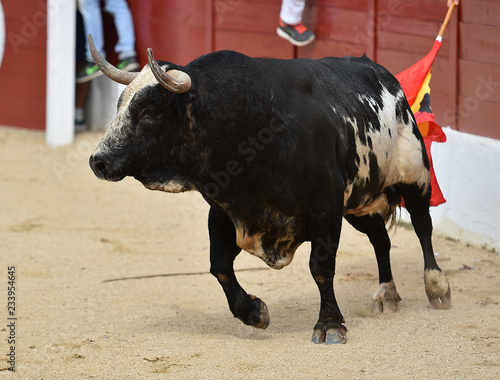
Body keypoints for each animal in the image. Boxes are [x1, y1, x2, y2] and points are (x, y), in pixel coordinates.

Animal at [88, 35, 452, 344]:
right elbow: (219, 265)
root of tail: (385, 75)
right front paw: (253, 312)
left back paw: (436, 287)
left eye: (149, 111)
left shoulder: (325, 210)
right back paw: (387, 293)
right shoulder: (225, 212)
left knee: (422, 226)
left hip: (415, 176)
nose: (98, 161)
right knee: (381, 240)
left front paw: (330, 324)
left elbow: (321, 269)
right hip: (359, 202)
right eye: (119, 105)